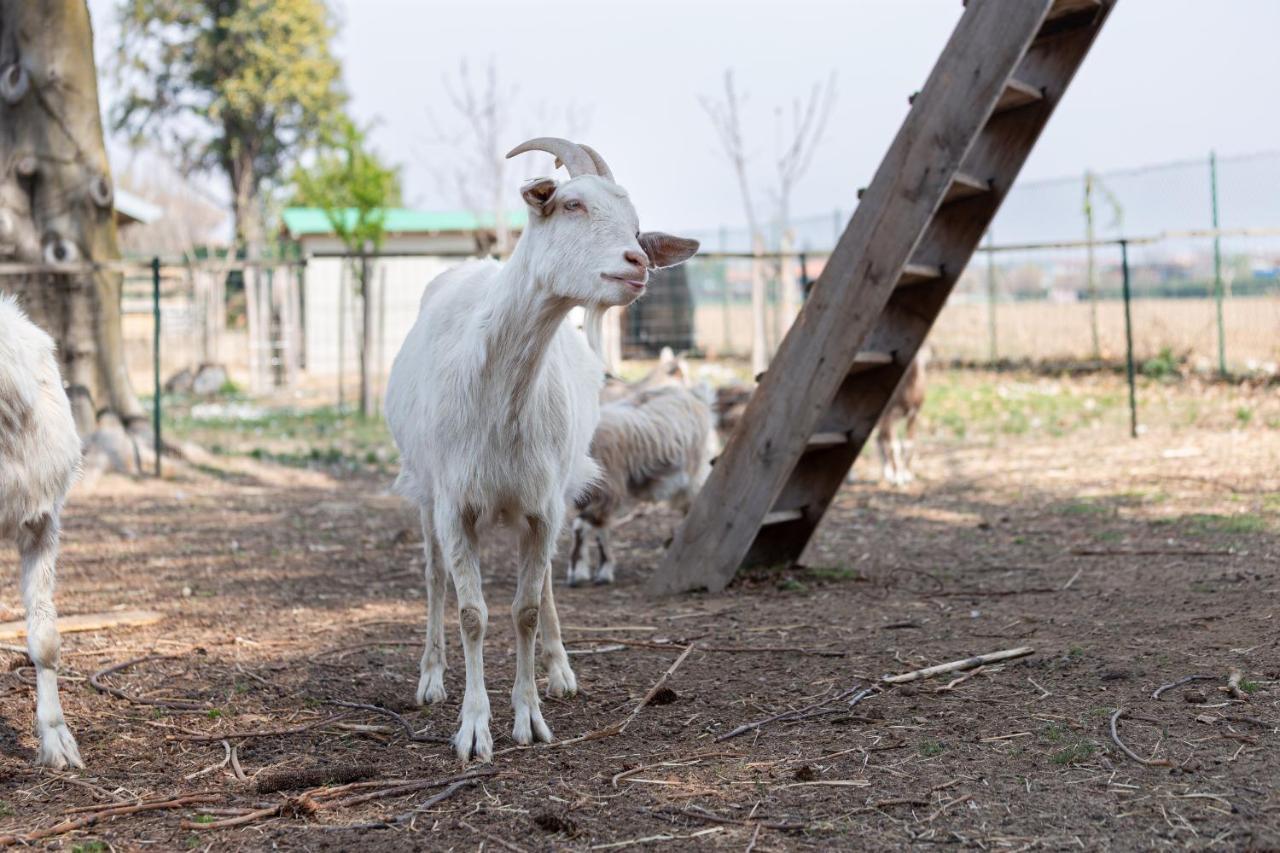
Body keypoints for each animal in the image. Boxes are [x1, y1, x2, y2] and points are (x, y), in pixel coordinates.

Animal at [384, 136, 696, 758]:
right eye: (570, 204)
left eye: (637, 225)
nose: (637, 262)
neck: (497, 392)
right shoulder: (454, 503)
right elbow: (471, 613)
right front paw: (473, 727)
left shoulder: (542, 504)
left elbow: (525, 609)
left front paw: (528, 715)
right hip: (424, 487)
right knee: (432, 575)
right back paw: (431, 677)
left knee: (546, 580)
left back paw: (559, 670)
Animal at [568, 384, 711, 584]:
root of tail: (696, 394)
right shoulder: (594, 497)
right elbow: (600, 528)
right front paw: (600, 570)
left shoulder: (608, 490)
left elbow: (581, 526)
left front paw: (580, 573)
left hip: (695, 470)